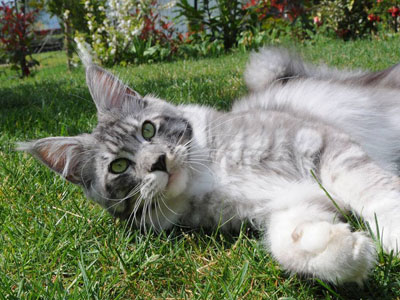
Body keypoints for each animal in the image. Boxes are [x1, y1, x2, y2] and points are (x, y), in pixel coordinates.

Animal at [18, 45, 400, 284]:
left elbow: (377, 192)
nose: (158, 162)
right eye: (119, 167)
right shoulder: (287, 204)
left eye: (147, 129)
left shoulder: (323, 145)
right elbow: (285, 242)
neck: (209, 174)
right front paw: (342, 252)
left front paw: (392, 235)